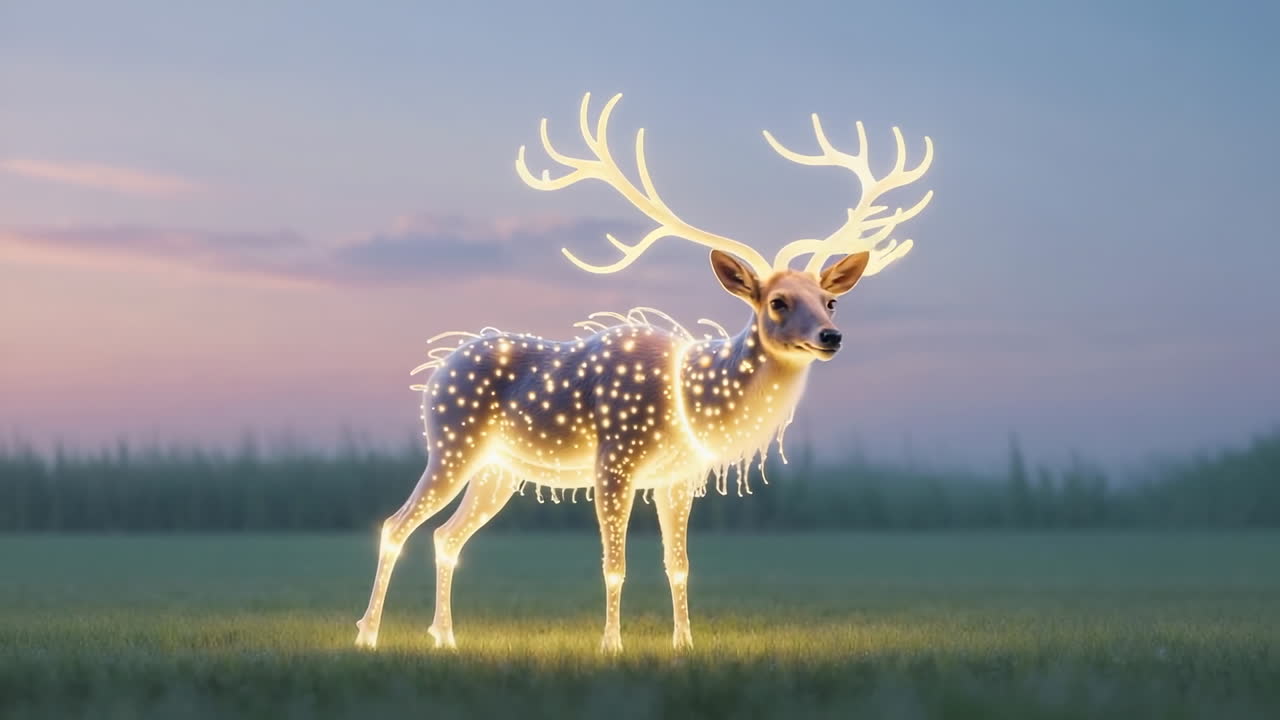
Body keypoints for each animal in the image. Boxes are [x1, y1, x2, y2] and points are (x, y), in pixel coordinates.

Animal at [355, 92, 933, 653]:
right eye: (777, 302)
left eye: (830, 301)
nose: (831, 337)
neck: (694, 398)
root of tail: (437, 370)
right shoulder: (615, 460)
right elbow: (615, 565)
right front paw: (611, 645)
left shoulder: (677, 477)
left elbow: (678, 566)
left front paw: (685, 643)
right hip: (453, 444)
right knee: (395, 525)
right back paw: (368, 635)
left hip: (499, 470)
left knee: (446, 537)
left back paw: (445, 637)